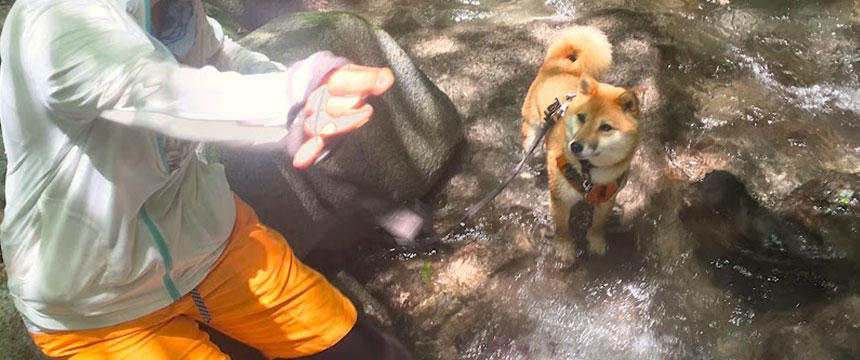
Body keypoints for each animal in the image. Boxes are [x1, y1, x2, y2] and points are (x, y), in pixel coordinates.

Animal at [520, 26, 636, 262]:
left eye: (605, 127)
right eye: (582, 118)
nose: (575, 146)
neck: (589, 173)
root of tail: (556, 65)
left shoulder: (607, 200)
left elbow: (598, 226)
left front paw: (596, 243)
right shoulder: (560, 200)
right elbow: (563, 229)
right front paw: (565, 250)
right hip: (531, 130)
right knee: (527, 152)